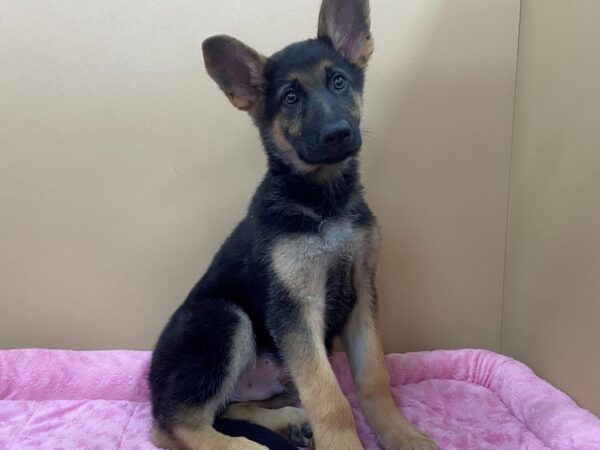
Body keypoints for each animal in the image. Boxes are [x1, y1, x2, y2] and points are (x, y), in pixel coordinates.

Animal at [149, 0, 436, 450]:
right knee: (175, 424)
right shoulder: (296, 307)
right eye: (290, 97)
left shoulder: (362, 291)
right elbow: (330, 399)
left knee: (228, 408)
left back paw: (290, 423)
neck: (322, 201)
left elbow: (374, 377)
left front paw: (400, 433)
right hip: (224, 317)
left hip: (272, 377)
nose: (338, 134)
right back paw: (247, 447)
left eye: (338, 82)